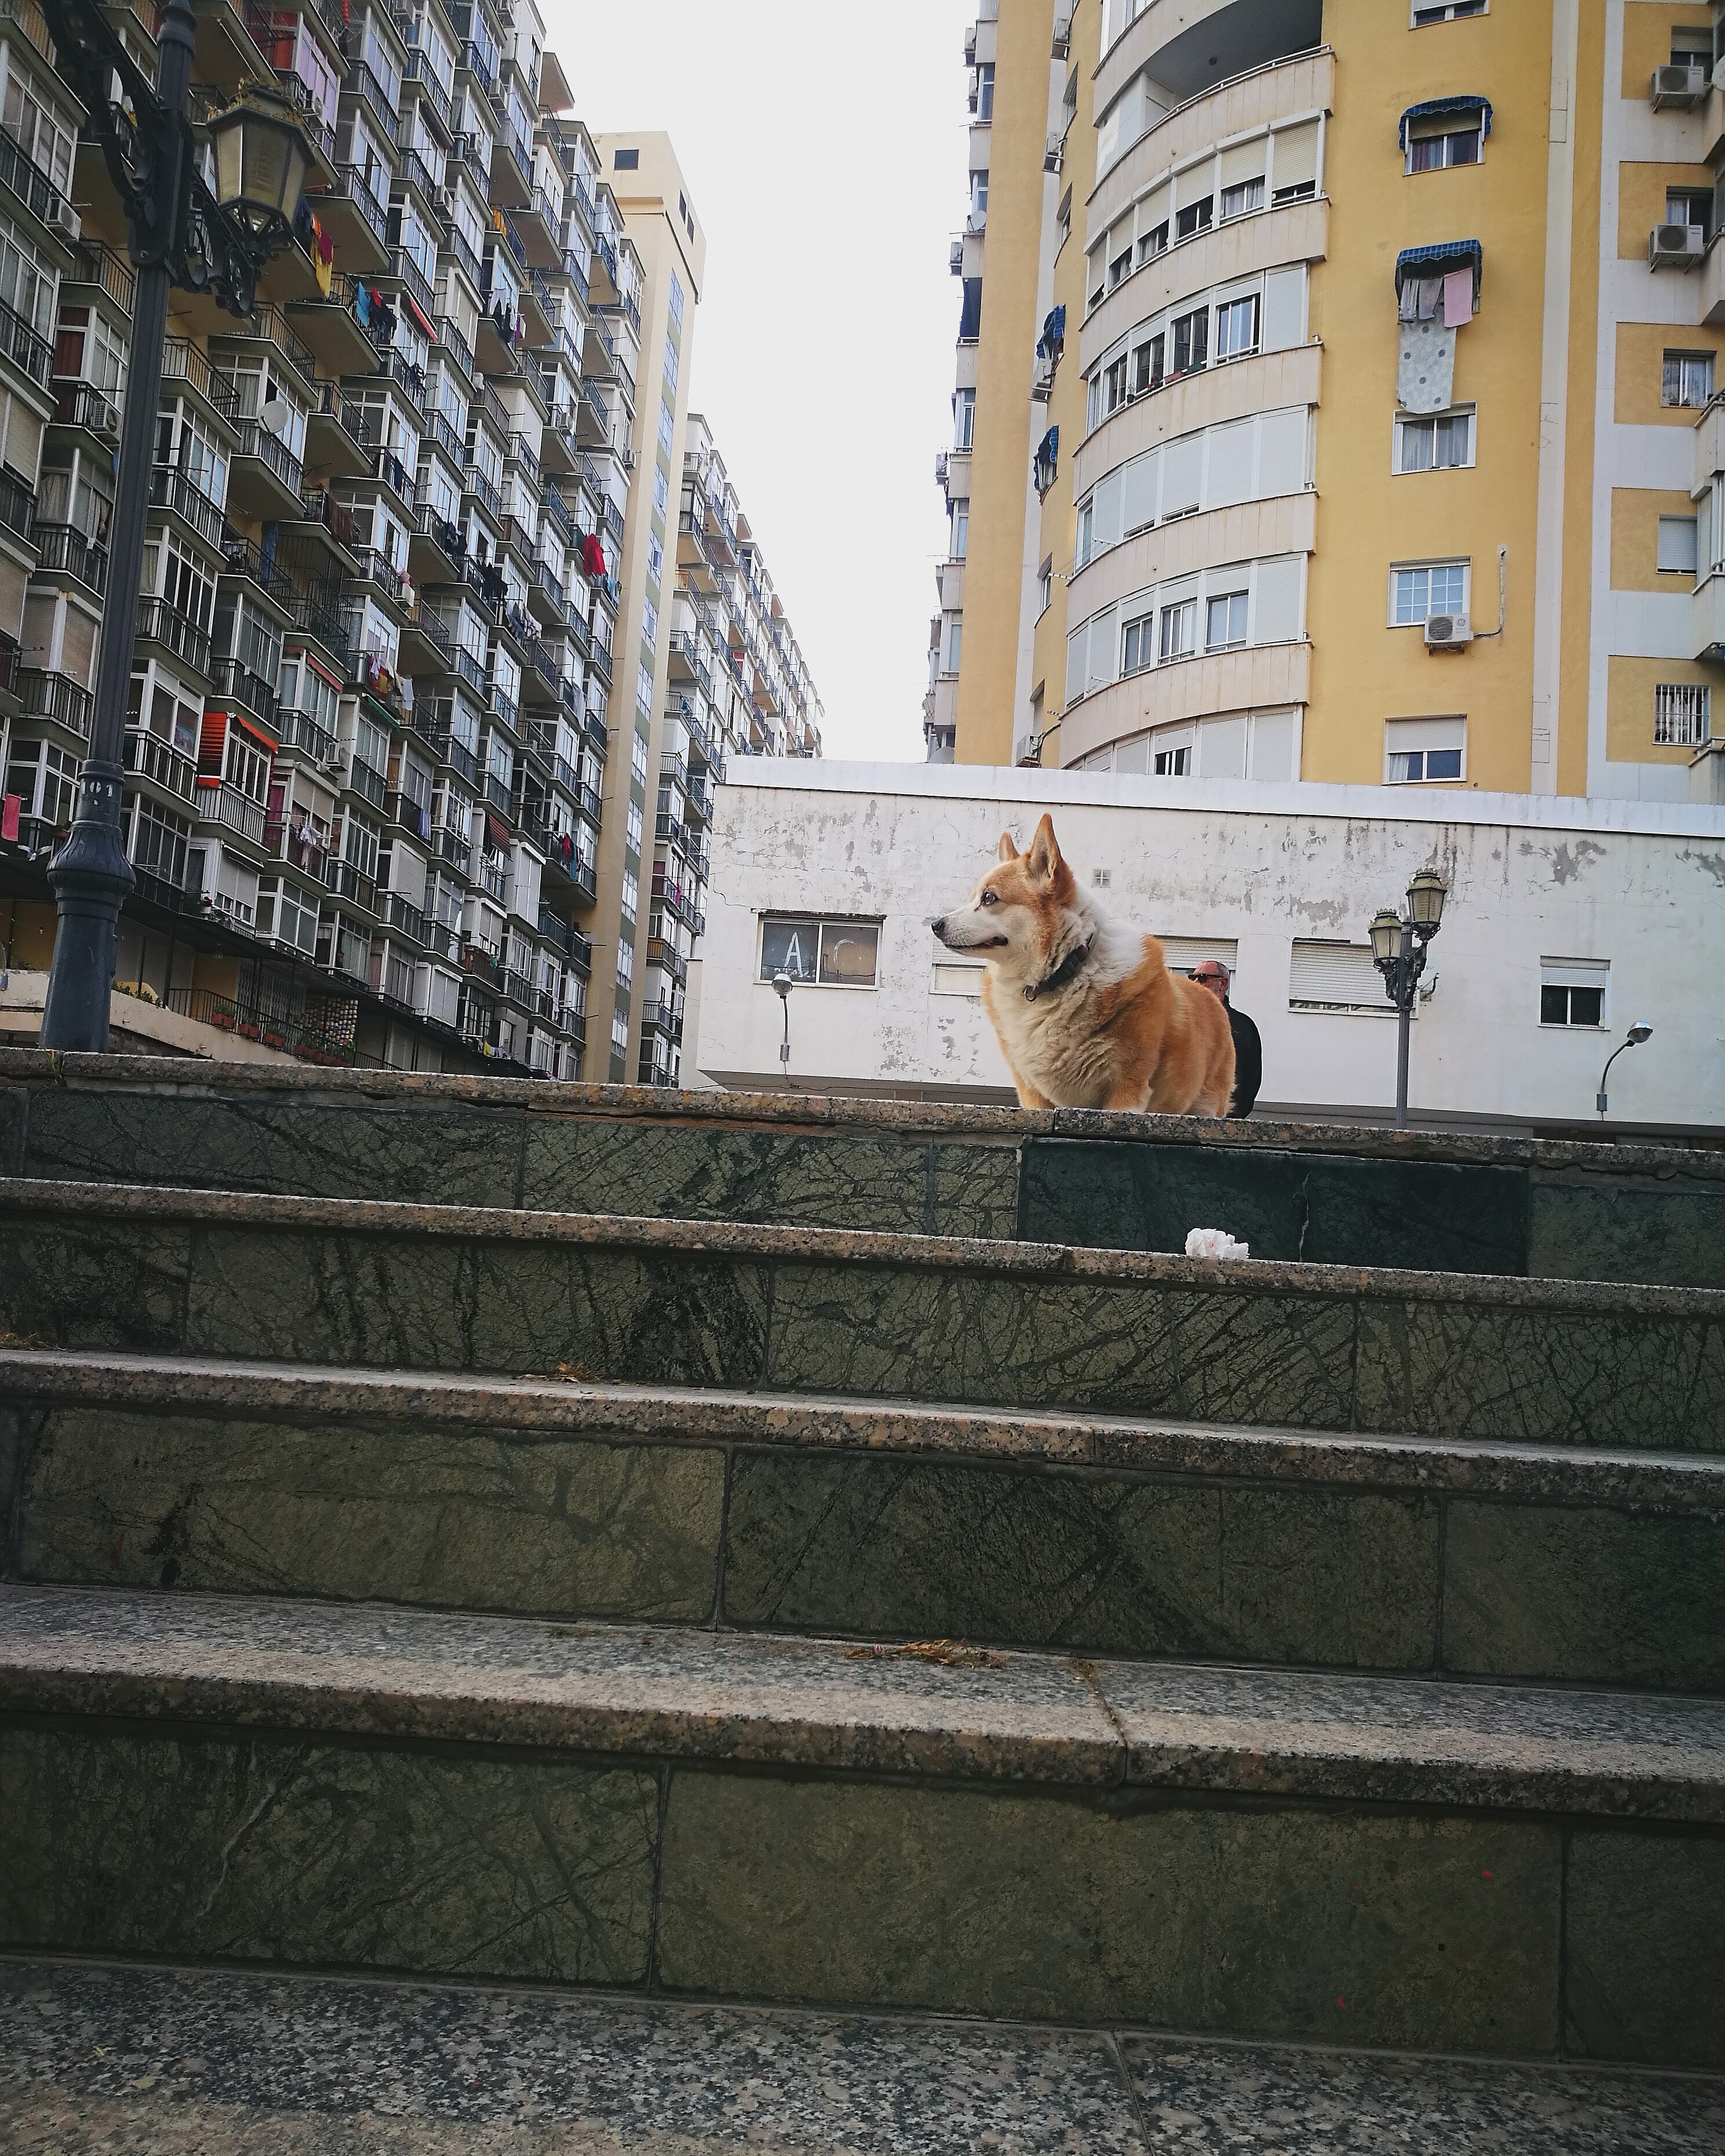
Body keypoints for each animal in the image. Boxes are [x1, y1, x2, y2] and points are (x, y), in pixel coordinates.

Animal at [929, 813, 1236, 1115]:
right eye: (974, 897)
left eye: (989, 898)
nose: (935, 925)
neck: (1065, 970)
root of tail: (1211, 998)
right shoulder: (1032, 1092)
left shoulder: (1128, 1088)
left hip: (1206, 1105)